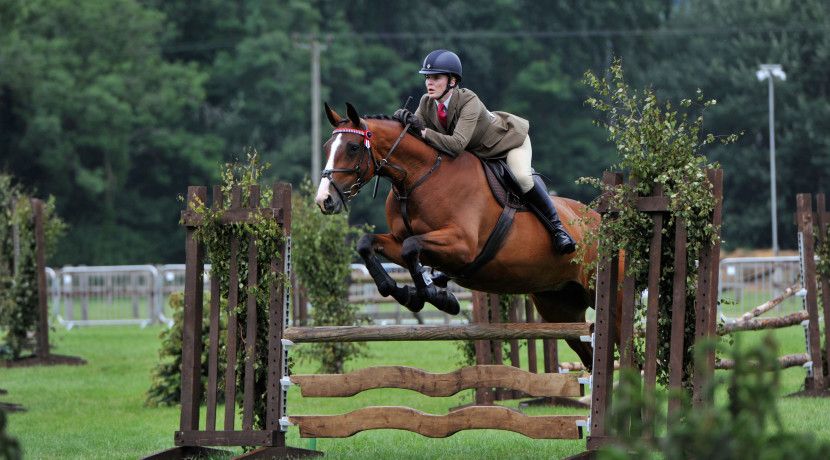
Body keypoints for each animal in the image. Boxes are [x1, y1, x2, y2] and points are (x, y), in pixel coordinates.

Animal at [316, 102, 620, 368]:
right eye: (326, 148)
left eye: (353, 147)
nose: (324, 200)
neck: (417, 178)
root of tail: (602, 221)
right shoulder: (402, 240)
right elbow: (369, 244)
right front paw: (403, 292)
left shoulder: (461, 247)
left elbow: (411, 248)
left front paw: (434, 296)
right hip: (559, 306)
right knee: (588, 352)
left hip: (598, 292)